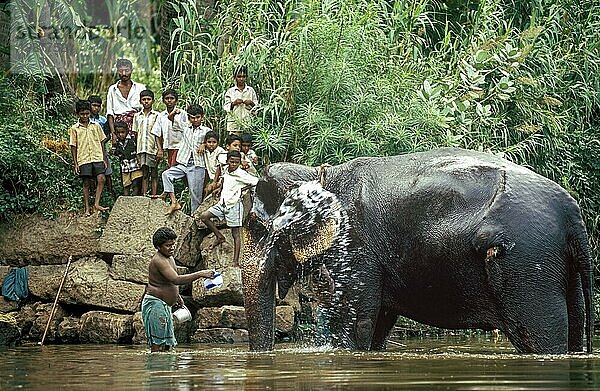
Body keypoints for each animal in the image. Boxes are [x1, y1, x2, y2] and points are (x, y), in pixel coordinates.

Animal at [240, 148, 596, 356]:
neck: (319, 173)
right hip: (560, 268)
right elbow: (378, 323)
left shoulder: (356, 245)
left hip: (527, 266)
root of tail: (573, 214)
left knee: (540, 333)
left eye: (255, 226)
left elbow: (355, 323)